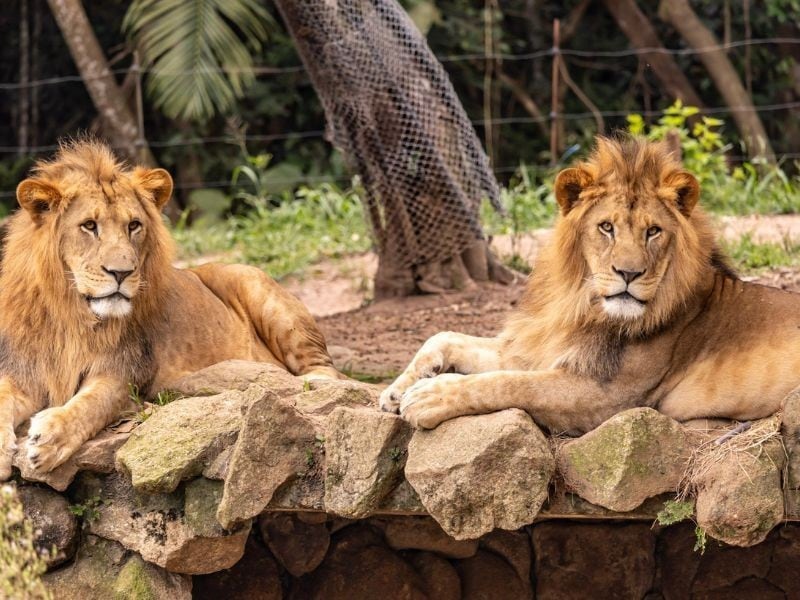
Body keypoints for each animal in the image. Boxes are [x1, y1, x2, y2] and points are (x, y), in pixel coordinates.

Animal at [0, 140, 343, 480]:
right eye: (89, 226)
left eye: (133, 225)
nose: (122, 272)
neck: (70, 314)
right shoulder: (23, 369)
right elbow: (3, 399)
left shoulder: (127, 374)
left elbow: (90, 405)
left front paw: (49, 438)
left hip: (258, 289)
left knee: (326, 369)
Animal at [380, 137, 800, 434]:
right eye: (606, 227)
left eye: (653, 231)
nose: (628, 273)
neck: (582, 306)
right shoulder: (542, 348)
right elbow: (444, 336)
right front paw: (396, 390)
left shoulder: (608, 398)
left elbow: (509, 384)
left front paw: (430, 395)